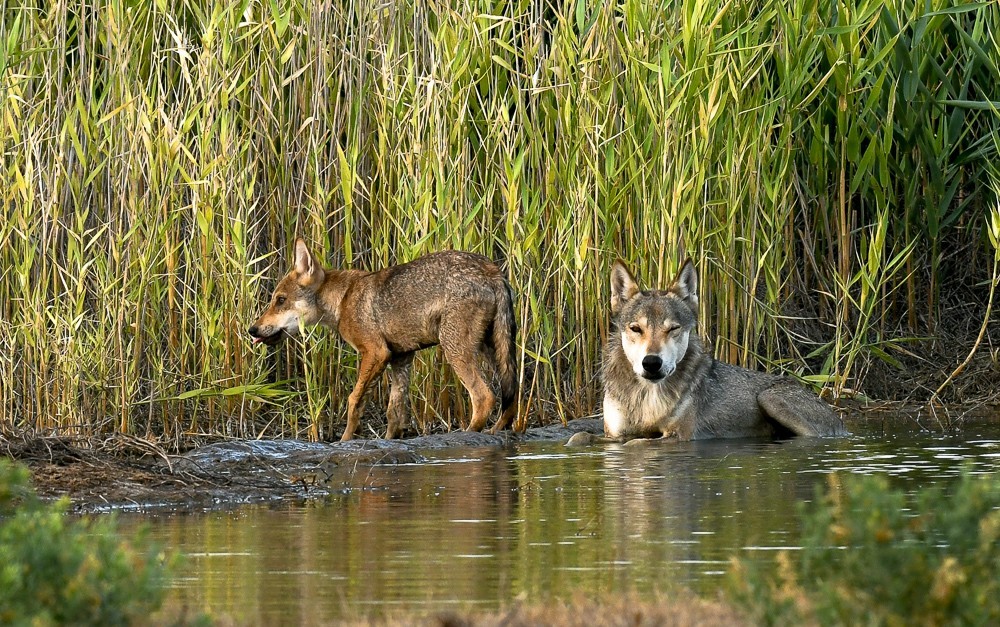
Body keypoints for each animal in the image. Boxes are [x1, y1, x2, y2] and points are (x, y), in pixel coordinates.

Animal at [249, 240, 520, 442]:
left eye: (280, 300)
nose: (252, 330)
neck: (343, 299)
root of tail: (492, 271)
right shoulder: (401, 358)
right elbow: (394, 412)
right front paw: (390, 439)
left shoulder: (375, 353)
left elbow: (354, 401)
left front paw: (344, 441)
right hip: (495, 352)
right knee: (510, 399)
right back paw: (497, 431)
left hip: (455, 350)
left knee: (485, 397)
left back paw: (469, 434)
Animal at [572, 260, 844, 446]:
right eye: (636, 328)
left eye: (673, 329)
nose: (651, 363)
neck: (647, 397)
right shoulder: (615, 434)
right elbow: (580, 436)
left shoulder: (679, 435)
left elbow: (638, 442)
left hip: (772, 399)